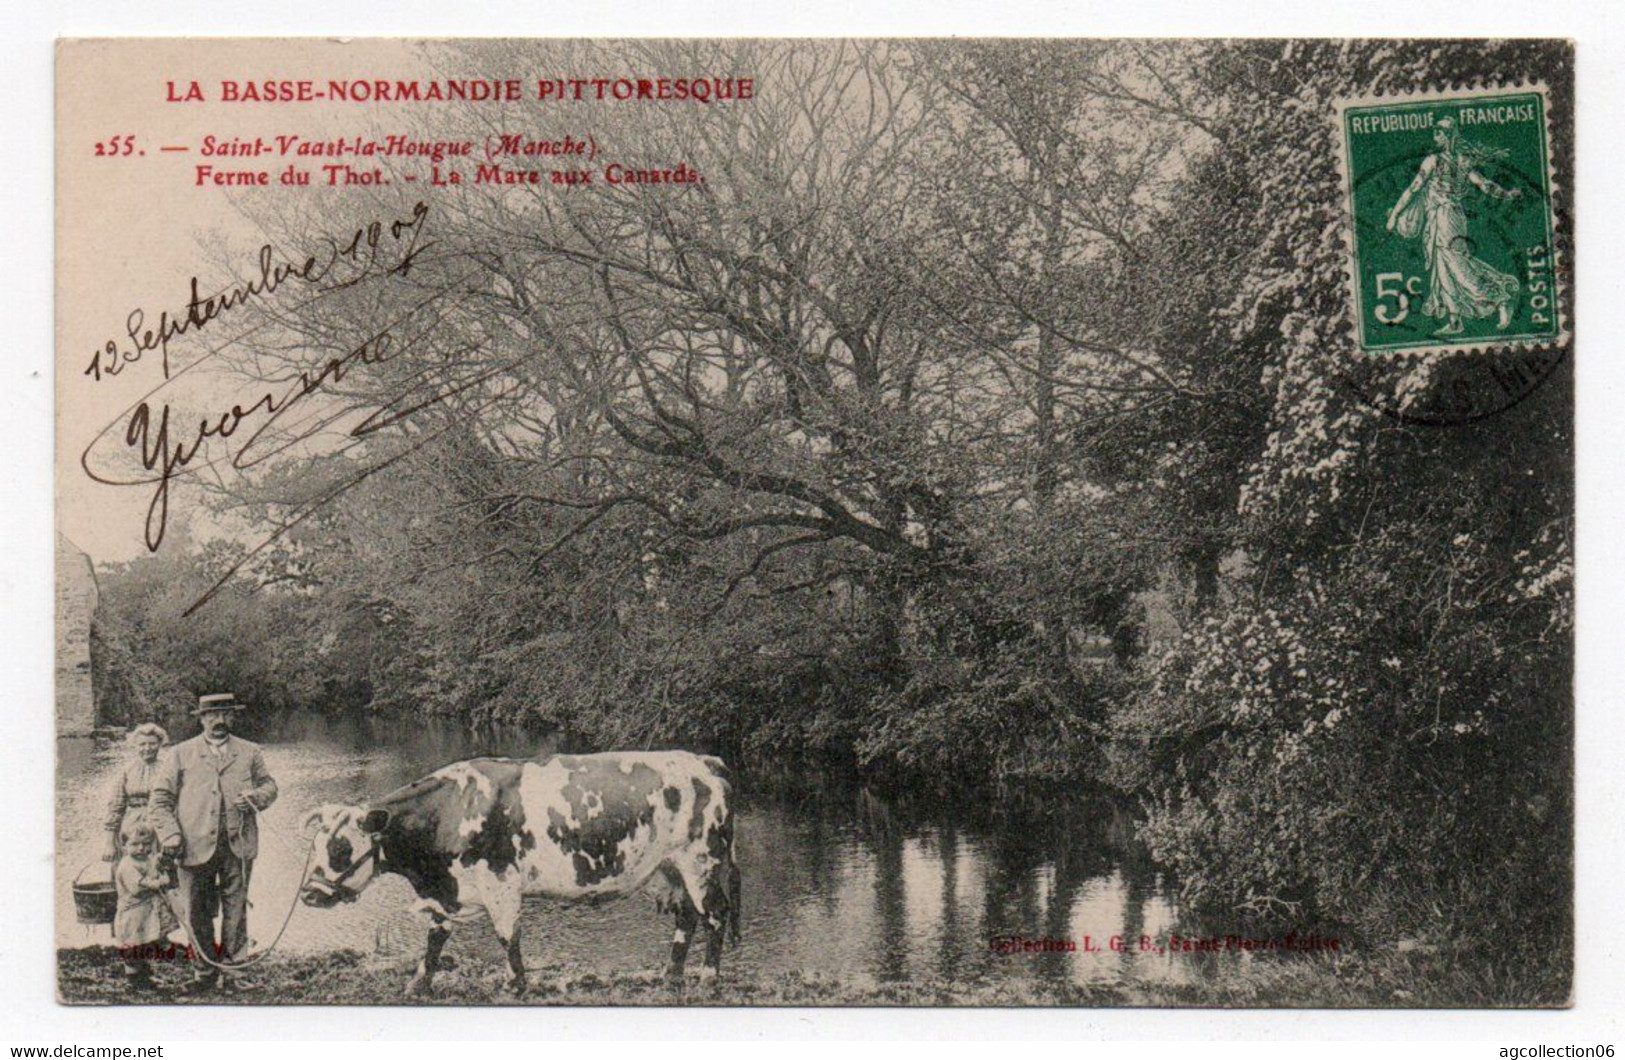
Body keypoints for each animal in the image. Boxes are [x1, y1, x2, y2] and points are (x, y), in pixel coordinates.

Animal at [299, 754, 744, 994]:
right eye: (313, 847)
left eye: (340, 848)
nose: (308, 895)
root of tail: (704, 762)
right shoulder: (448, 891)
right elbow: (435, 939)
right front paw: (419, 984)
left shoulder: (500, 884)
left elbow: (506, 934)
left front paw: (514, 982)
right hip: (669, 869)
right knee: (687, 917)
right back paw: (671, 975)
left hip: (700, 861)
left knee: (715, 914)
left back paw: (708, 977)